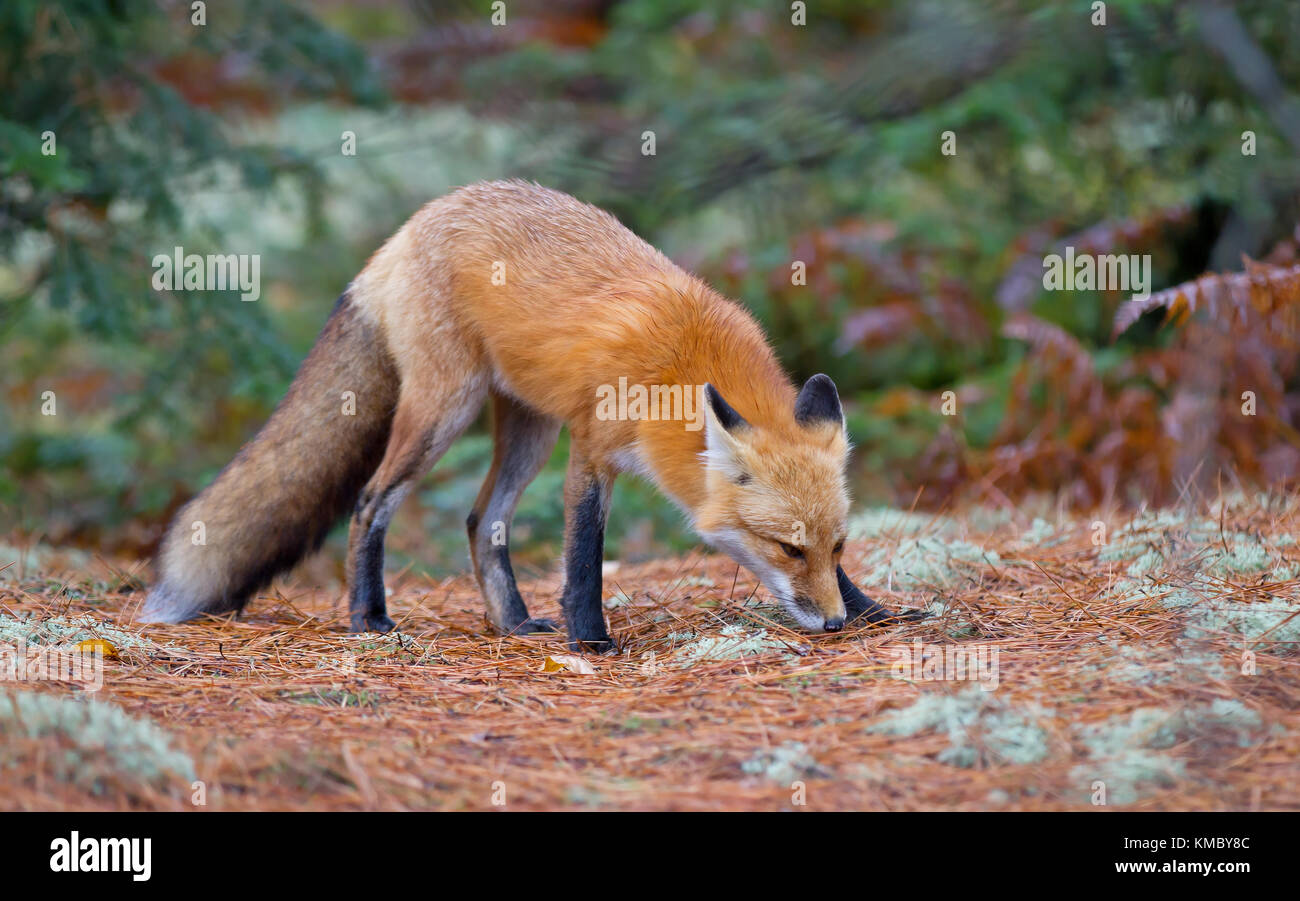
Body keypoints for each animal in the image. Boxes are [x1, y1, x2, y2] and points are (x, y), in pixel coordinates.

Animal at [141, 180, 913, 650]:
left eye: (837, 545)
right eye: (787, 549)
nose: (834, 625)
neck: (681, 360)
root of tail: (410, 227)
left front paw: (874, 609)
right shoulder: (593, 447)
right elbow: (583, 553)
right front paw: (591, 638)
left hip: (528, 429)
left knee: (481, 520)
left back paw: (510, 623)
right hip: (445, 413)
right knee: (369, 502)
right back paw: (369, 617)